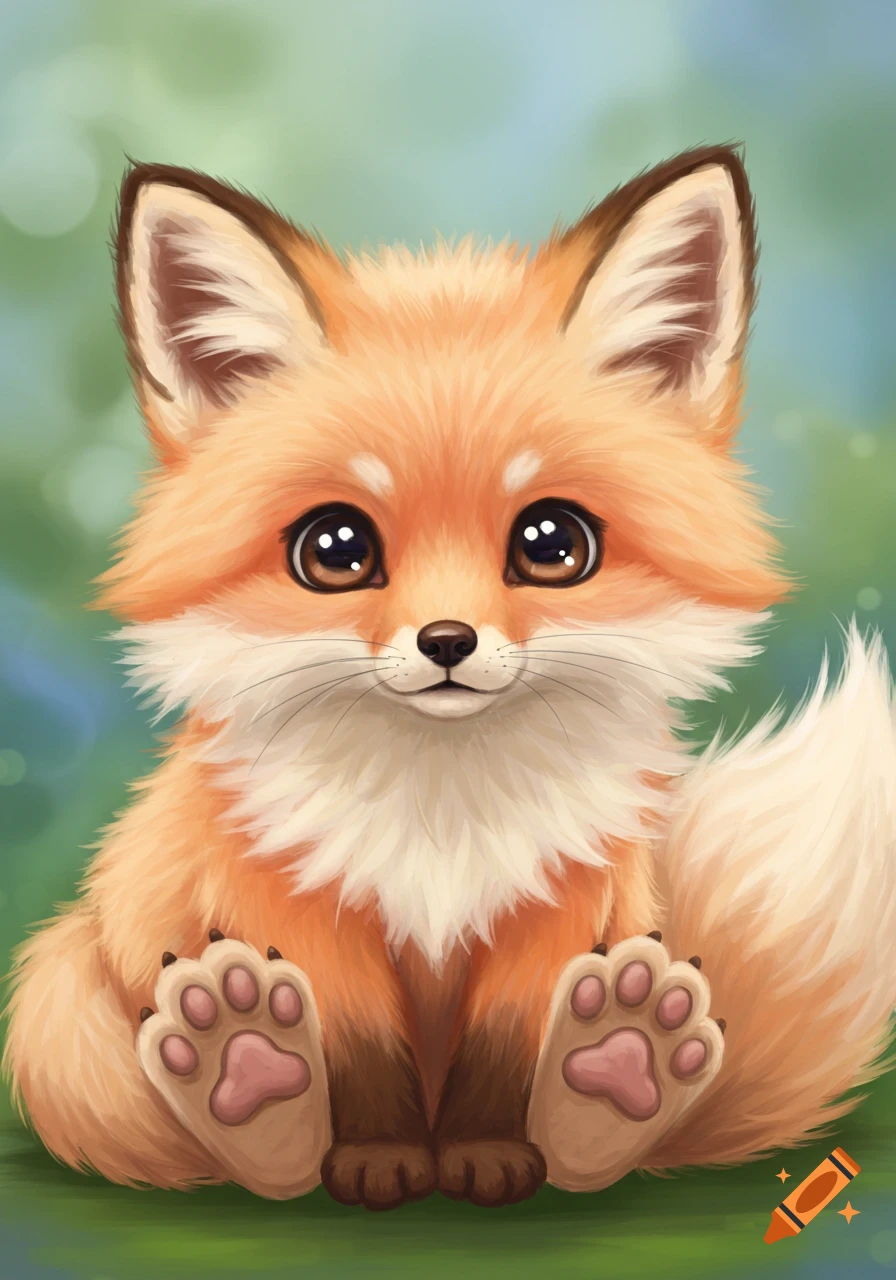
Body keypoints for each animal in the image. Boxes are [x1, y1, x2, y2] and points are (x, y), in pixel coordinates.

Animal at [3, 144, 896, 1212]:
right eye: (335, 549)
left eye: (552, 543)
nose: (446, 641)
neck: (441, 819)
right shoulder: (288, 896)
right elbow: (358, 1050)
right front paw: (376, 1155)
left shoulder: (560, 905)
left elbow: (505, 1053)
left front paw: (492, 1149)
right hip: (57, 1008)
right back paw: (253, 1085)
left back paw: (613, 1080)